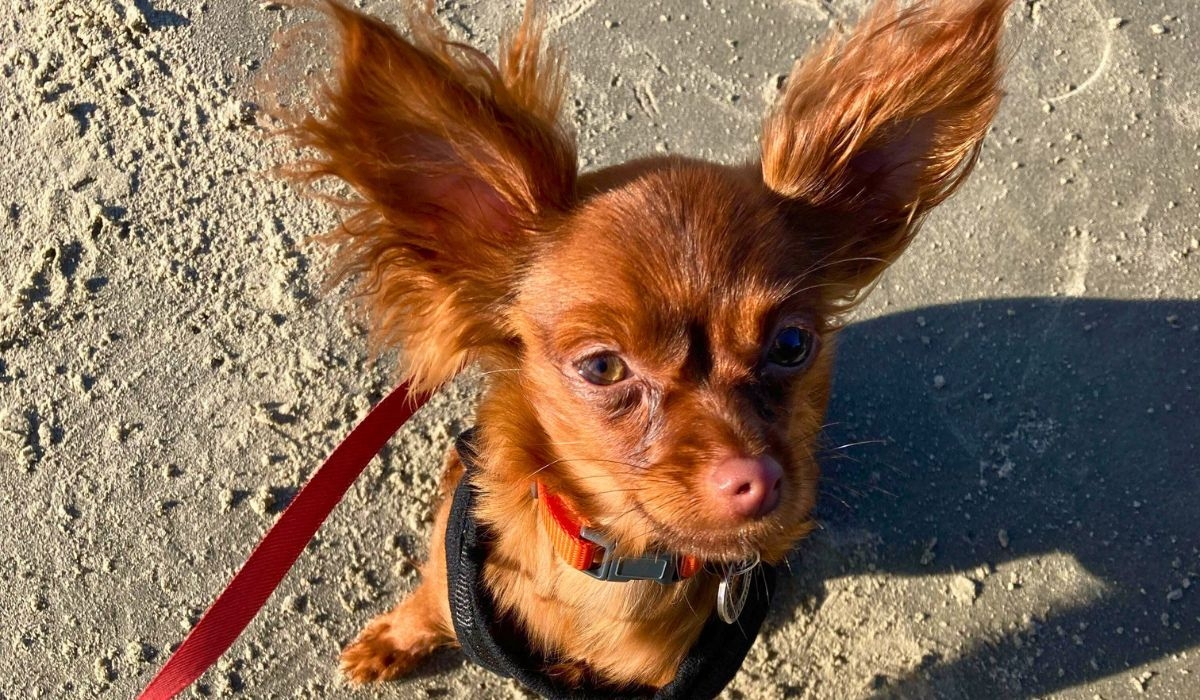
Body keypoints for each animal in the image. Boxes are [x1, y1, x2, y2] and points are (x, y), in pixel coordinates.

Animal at [276, 0, 1008, 691]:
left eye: (793, 345)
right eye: (603, 367)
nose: (757, 478)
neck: (615, 563)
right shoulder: (443, 580)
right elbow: (428, 603)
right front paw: (391, 640)